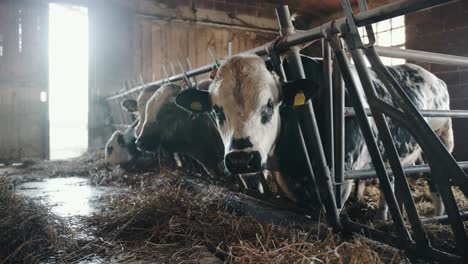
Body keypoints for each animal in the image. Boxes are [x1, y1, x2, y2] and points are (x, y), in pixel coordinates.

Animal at [176, 54, 454, 221]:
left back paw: (439, 215)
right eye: (216, 110)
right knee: (394, 180)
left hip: (441, 140)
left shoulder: (340, 177)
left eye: (269, 104)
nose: (241, 160)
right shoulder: (289, 179)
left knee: (436, 179)